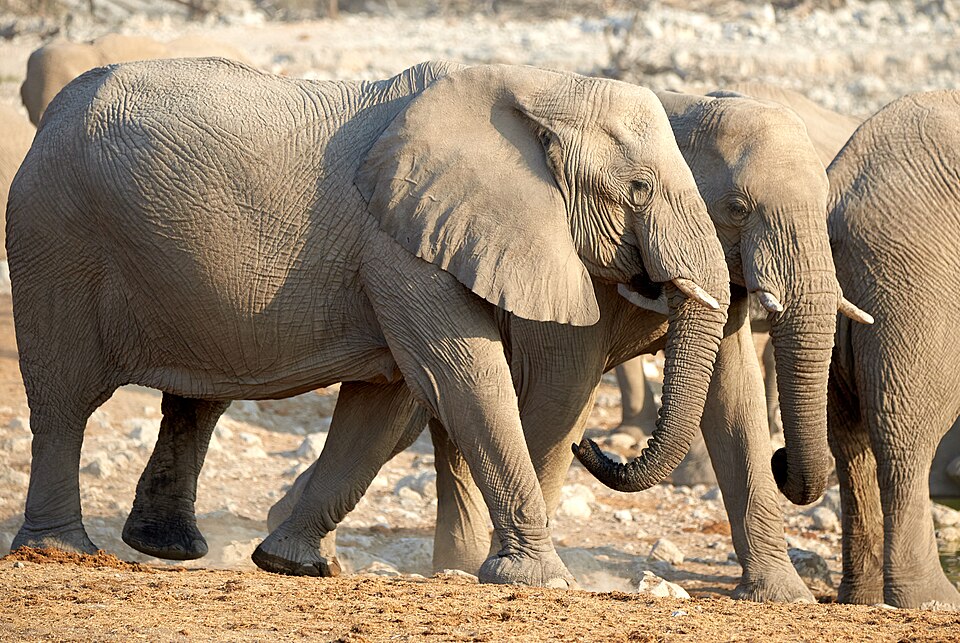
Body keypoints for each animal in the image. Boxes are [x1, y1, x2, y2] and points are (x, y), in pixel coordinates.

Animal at [6, 58, 731, 589]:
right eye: (638, 189)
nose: (594, 446)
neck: (539, 87)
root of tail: (50, 119)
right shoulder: (400, 246)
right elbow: (461, 378)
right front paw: (544, 583)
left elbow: (385, 404)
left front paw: (294, 564)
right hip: (55, 237)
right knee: (65, 401)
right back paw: (63, 552)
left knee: (198, 398)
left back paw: (167, 548)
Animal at [267, 87, 875, 601]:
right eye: (739, 208)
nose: (599, 448)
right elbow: (563, 393)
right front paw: (531, 572)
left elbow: (735, 403)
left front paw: (783, 596)